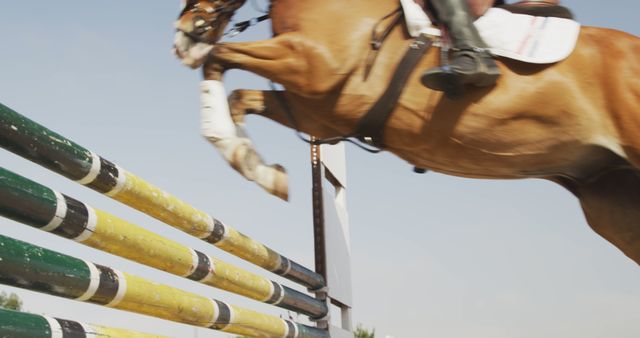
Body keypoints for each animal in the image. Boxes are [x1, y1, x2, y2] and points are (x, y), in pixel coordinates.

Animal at [175, 0, 640, 264]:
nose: (183, 33)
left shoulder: (310, 64)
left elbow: (217, 56)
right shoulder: (316, 111)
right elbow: (237, 92)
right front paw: (258, 168)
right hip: (611, 200)